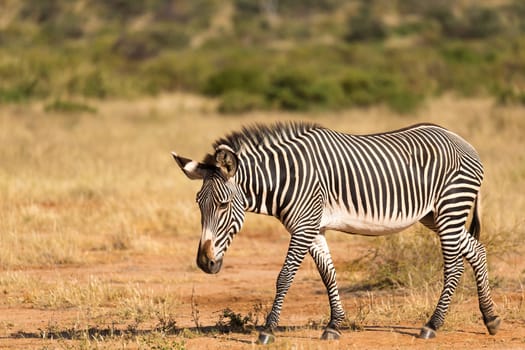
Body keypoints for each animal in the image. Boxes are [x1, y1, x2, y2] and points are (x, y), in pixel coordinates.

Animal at [172, 121, 500, 344]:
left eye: (223, 205)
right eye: (199, 204)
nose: (204, 263)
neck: (287, 178)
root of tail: (462, 140)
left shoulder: (303, 226)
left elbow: (284, 277)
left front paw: (267, 330)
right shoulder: (313, 228)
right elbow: (328, 274)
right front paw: (334, 326)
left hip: (450, 208)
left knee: (454, 265)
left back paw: (432, 325)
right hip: (434, 215)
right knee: (477, 250)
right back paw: (491, 319)